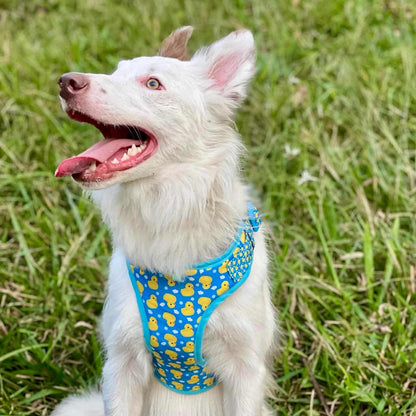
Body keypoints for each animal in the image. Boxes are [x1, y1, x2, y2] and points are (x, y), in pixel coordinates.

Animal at [52, 26, 278, 416]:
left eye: (153, 83)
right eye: (114, 72)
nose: (67, 82)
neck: (170, 208)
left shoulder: (245, 368)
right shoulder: (122, 363)